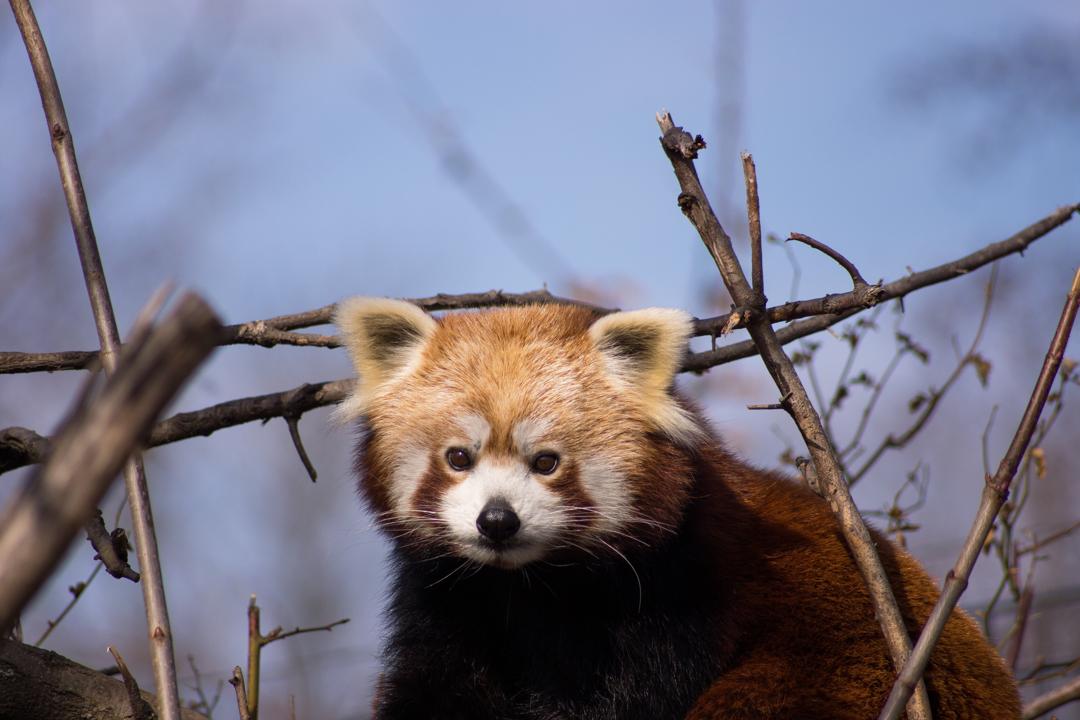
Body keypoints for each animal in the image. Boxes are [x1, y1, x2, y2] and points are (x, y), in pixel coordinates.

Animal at [334, 297, 1019, 720]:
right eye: (458, 457)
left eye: (547, 462)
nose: (497, 520)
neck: (531, 586)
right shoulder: (449, 599)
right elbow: (434, 688)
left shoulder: (679, 591)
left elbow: (635, 701)